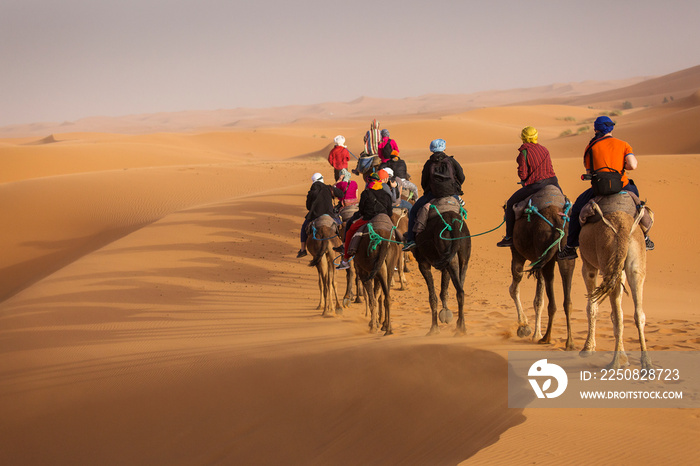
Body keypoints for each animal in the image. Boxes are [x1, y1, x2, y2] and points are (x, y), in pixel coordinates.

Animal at [410, 205, 470, 334]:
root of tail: (454, 222)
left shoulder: (423, 263)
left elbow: (432, 297)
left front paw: (434, 329)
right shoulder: (444, 264)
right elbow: (443, 293)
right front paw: (445, 314)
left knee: (459, 290)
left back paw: (459, 329)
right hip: (462, 254)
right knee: (461, 289)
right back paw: (461, 327)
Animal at [508, 186, 576, 350]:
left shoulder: (518, 253)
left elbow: (516, 288)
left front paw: (525, 327)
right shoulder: (540, 261)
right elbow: (538, 299)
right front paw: (532, 331)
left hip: (541, 255)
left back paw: (544, 337)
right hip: (564, 257)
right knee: (566, 300)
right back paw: (568, 342)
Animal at [576, 195, 652, 370]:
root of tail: (623, 229)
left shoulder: (588, 267)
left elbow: (592, 307)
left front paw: (587, 348)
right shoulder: (620, 271)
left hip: (607, 260)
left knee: (617, 316)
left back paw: (615, 362)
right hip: (634, 264)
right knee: (638, 314)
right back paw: (646, 364)